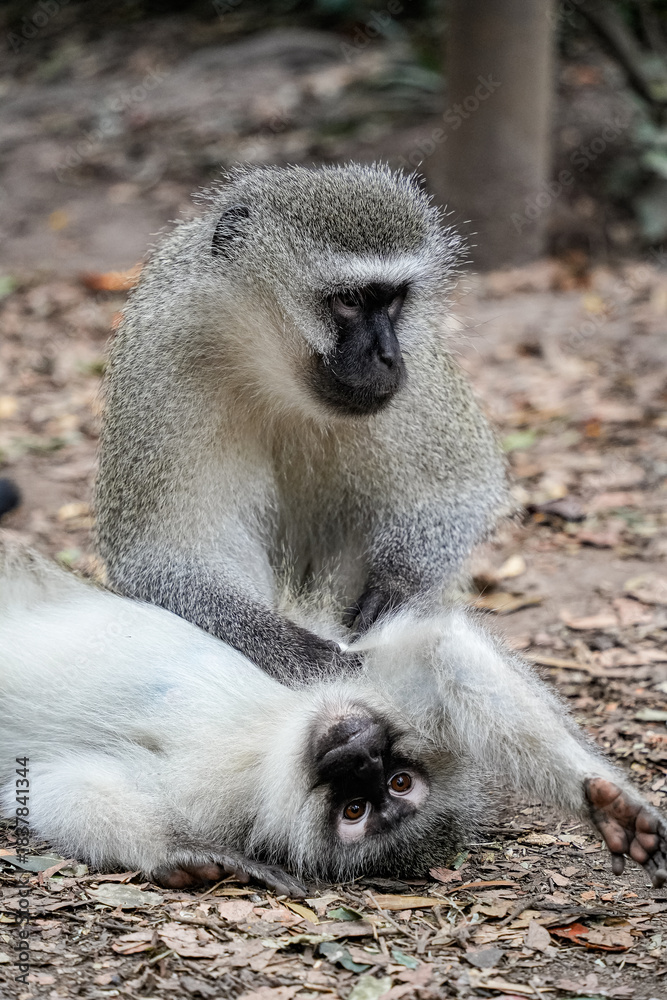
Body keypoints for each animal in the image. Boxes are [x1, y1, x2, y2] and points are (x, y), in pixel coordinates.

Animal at [1, 542, 666, 894]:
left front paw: (183, 860)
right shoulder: (349, 675)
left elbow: (60, 784)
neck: (271, 739)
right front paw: (603, 802)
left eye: (378, 797)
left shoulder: (214, 801)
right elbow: (436, 651)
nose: (358, 753)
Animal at [95, 163, 511, 683]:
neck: (269, 371)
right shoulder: (159, 359)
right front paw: (293, 647)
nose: (389, 357)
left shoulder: (423, 371)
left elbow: (461, 491)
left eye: (393, 299)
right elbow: (160, 557)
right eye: (349, 300)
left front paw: (395, 586)